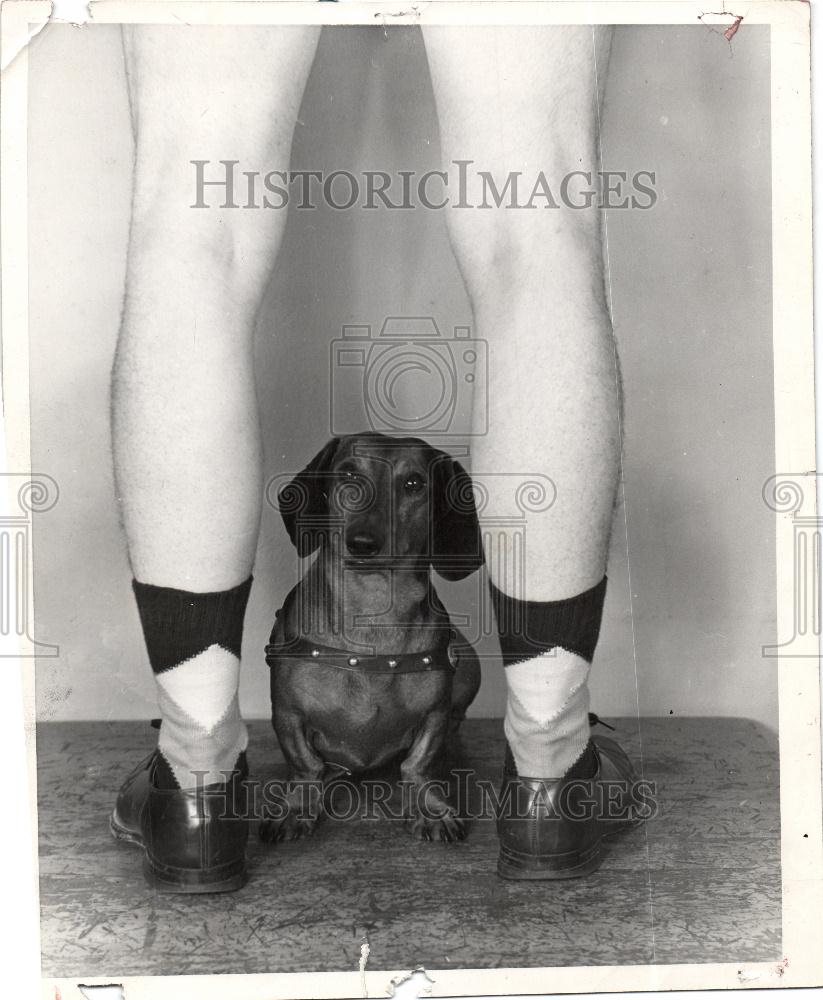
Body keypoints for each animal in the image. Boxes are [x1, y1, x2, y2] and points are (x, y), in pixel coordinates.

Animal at [262, 432, 482, 844]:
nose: (362, 543)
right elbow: (305, 764)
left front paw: (429, 808)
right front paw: (296, 808)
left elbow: (418, 763)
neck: (373, 611)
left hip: (469, 663)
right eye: (348, 473)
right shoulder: (287, 713)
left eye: (414, 483)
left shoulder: (435, 713)